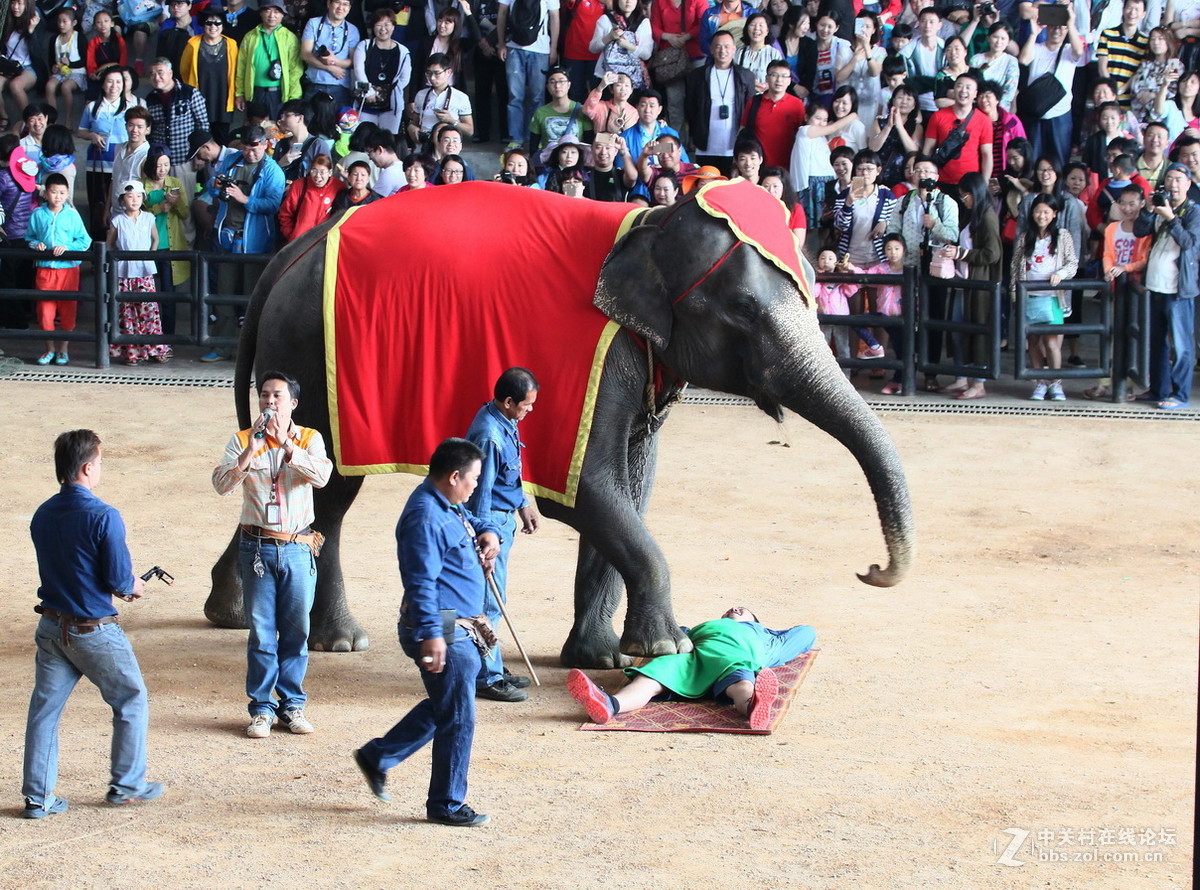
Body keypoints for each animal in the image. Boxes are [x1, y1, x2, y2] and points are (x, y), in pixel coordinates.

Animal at [205, 180, 914, 669]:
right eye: (743, 309)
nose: (871, 570)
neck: (652, 224)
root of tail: (294, 250)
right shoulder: (592, 362)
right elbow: (589, 490)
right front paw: (667, 647)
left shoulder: (640, 362)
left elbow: (632, 486)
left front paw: (601, 657)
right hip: (308, 353)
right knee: (329, 494)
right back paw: (339, 640)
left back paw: (232, 611)